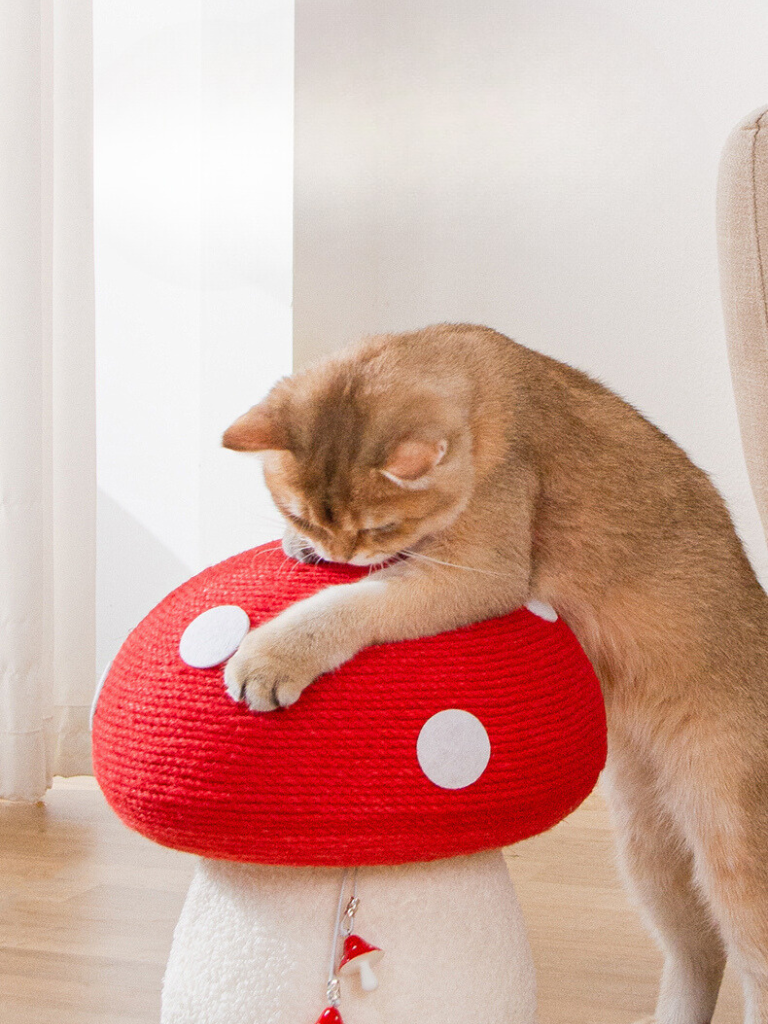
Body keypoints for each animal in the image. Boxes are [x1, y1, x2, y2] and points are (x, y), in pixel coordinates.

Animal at [222, 323, 768, 1024]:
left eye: (381, 525)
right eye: (301, 514)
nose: (339, 550)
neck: (484, 377)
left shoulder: (481, 571)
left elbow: (357, 603)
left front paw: (270, 655)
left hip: (732, 845)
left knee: (752, 959)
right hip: (650, 847)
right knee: (699, 950)